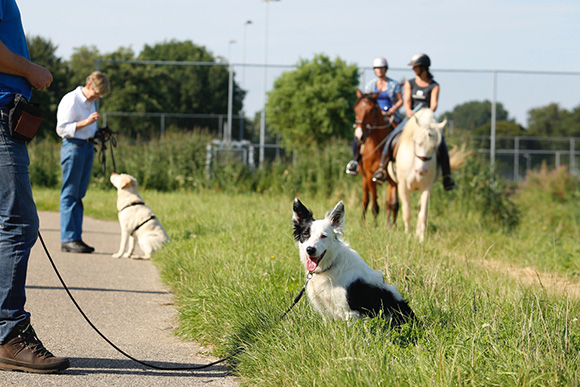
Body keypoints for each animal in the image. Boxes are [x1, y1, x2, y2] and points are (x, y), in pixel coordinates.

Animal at [354, 88, 398, 224]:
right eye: (355, 109)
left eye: (371, 110)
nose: (359, 136)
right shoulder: (369, 176)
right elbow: (374, 205)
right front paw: (375, 225)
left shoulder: (393, 179)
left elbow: (392, 203)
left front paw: (391, 225)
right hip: (364, 178)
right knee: (365, 200)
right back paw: (362, 223)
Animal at [388, 109, 456, 242]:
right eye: (418, 143)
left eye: (435, 147)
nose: (422, 171)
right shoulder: (403, 187)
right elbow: (407, 212)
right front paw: (407, 234)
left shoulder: (426, 188)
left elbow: (423, 214)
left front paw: (421, 238)